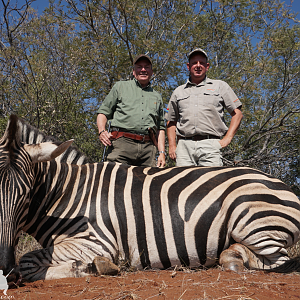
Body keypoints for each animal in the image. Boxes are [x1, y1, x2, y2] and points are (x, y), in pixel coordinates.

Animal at [1, 115, 300, 284]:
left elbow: (27, 262)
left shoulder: (96, 241)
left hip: (250, 219)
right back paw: (231, 255)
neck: (68, 193)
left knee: (276, 262)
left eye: (26, 195)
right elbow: (27, 262)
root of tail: (281, 184)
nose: (2, 265)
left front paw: (88, 268)